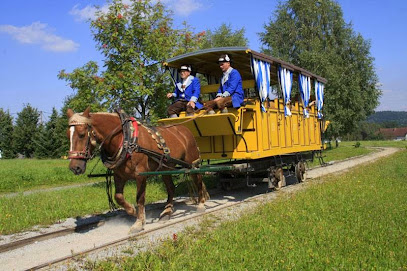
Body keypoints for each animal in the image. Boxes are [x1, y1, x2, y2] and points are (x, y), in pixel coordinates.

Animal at [67, 108, 209, 234]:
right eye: (68, 135)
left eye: (82, 134)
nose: (75, 167)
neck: (126, 138)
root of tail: (185, 130)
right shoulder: (119, 175)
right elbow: (118, 197)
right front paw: (132, 211)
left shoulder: (140, 174)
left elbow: (140, 198)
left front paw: (139, 223)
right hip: (165, 167)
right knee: (171, 188)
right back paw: (167, 212)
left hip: (192, 162)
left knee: (198, 180)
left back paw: (201, 204)